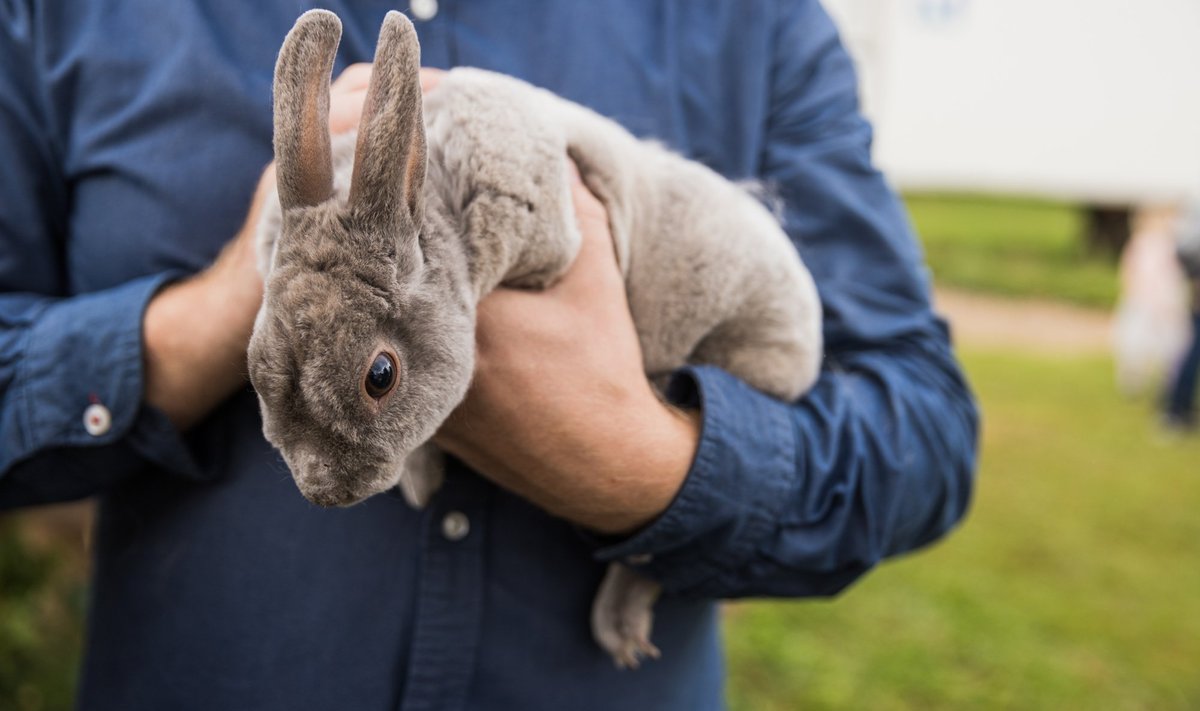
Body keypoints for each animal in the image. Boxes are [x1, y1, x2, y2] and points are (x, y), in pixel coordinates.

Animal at [246, 8, 825, 667]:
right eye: (255, 371)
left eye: (380, 375)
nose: (324, 492)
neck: (437, 207)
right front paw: (424, 481)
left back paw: (621, 634)